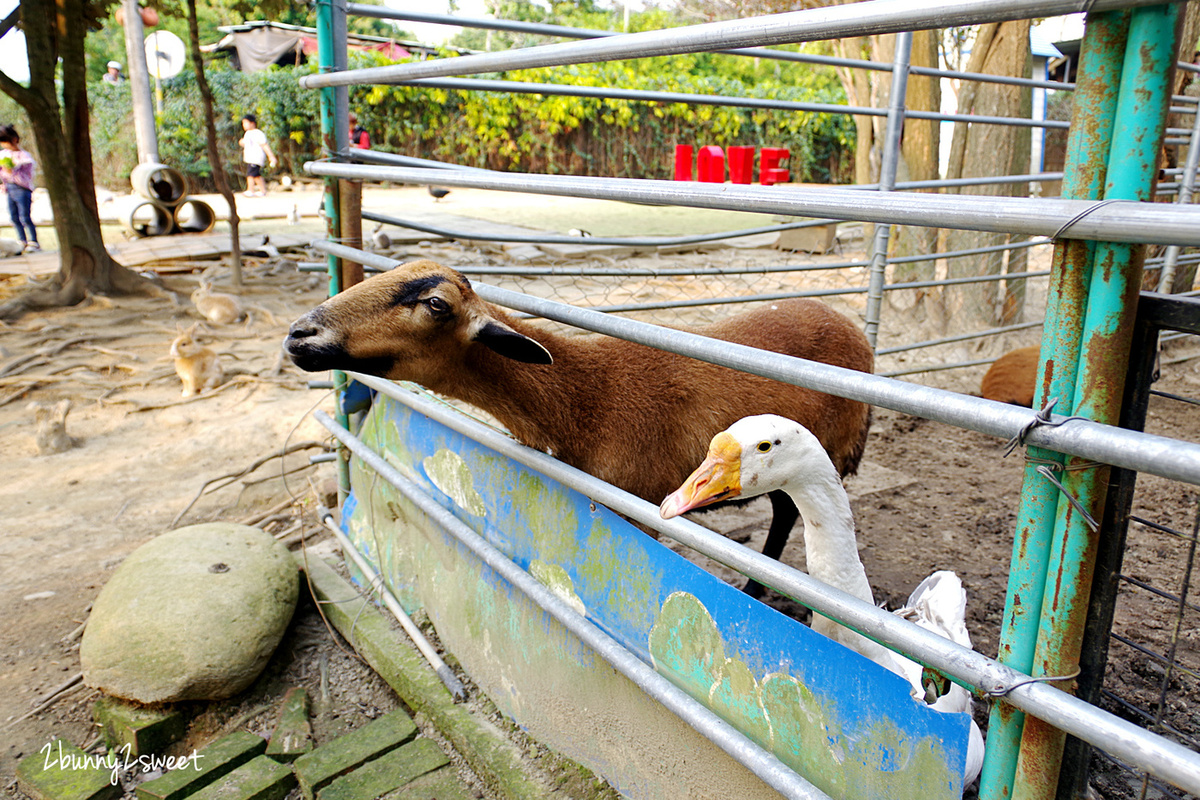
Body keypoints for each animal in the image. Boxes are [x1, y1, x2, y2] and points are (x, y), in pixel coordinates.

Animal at [288, 260, 873, 597]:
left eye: (435, 305)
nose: (299, 335)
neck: (587, 399)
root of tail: (849, 324)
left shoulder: (638, 508)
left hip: (825, 449)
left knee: (793, 514)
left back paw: (758, 586)